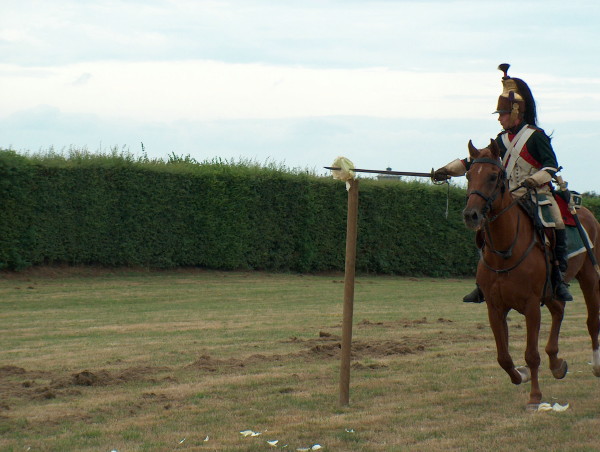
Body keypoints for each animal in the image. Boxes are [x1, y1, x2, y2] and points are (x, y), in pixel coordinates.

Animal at [462, 139, 596, 408]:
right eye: (469, 175)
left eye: (493, 176)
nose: (471, 215)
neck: (505, 250)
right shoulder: (495, 307)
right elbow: (503, 356)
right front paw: (521, 375)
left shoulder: (532, 305)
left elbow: (531, 354)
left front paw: (535, 396)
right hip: (552, 290)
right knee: (559, 310)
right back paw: (556, 364)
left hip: (589, 278)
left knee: (591, 320)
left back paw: (596, 365)